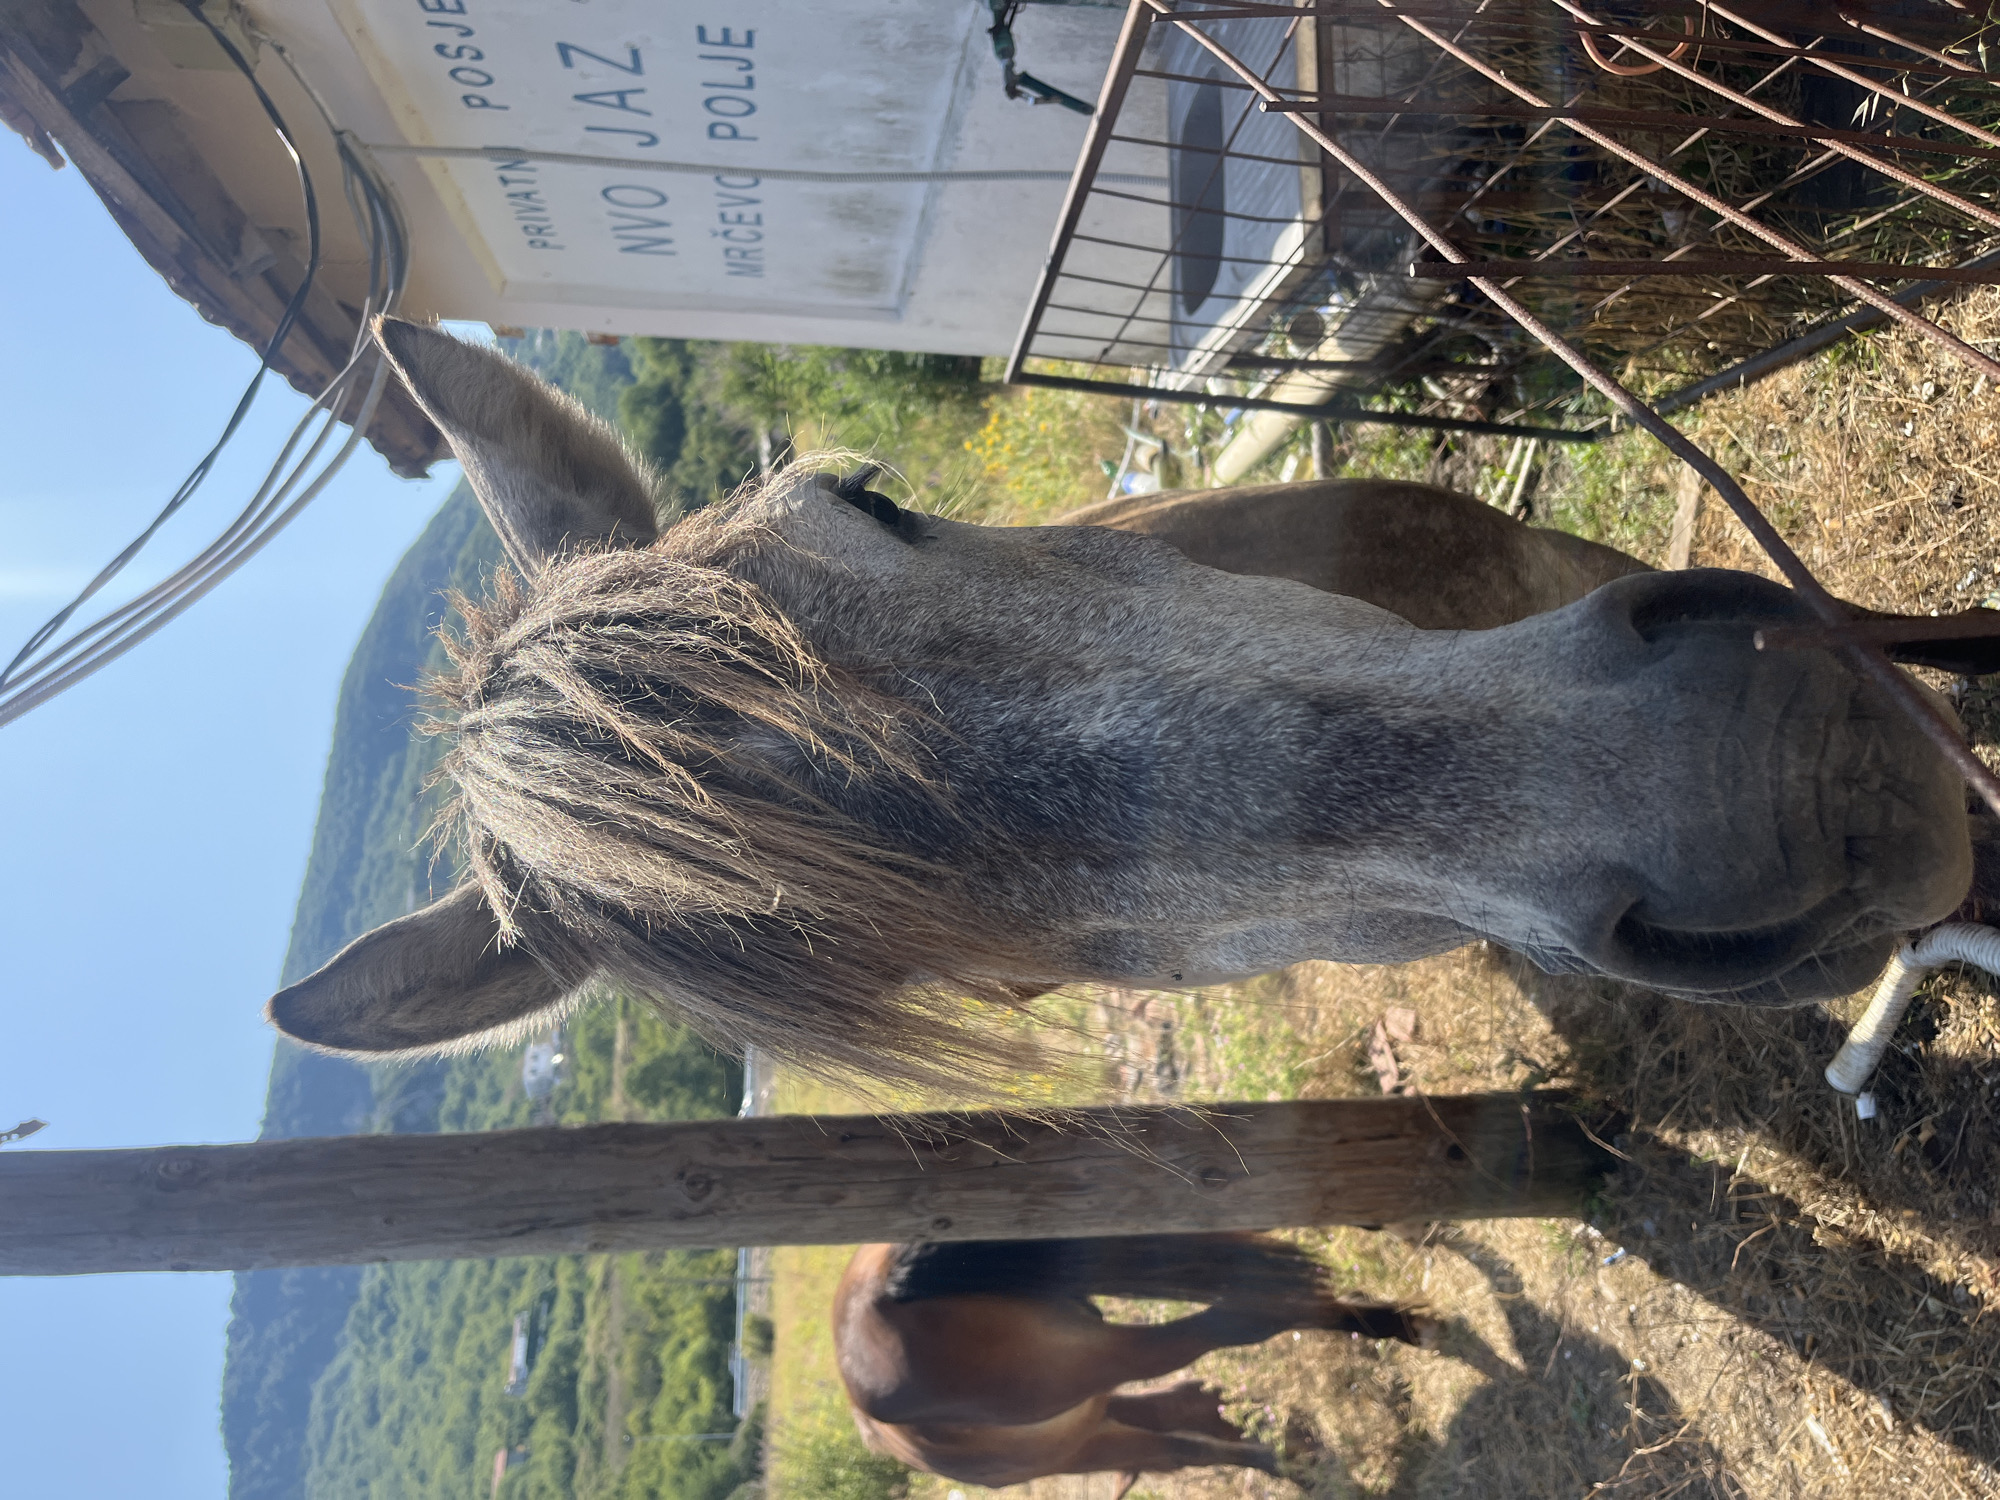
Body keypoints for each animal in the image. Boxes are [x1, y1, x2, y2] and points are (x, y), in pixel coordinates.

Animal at [834, 1233, 1430, 1490]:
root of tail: (881, 1292)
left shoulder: (1094, 1441)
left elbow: (1188, 1441)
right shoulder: (1098, 1418)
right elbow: (1195, 1415)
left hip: (1115, 1354)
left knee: (1243, 1319)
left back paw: (1404, 1327)